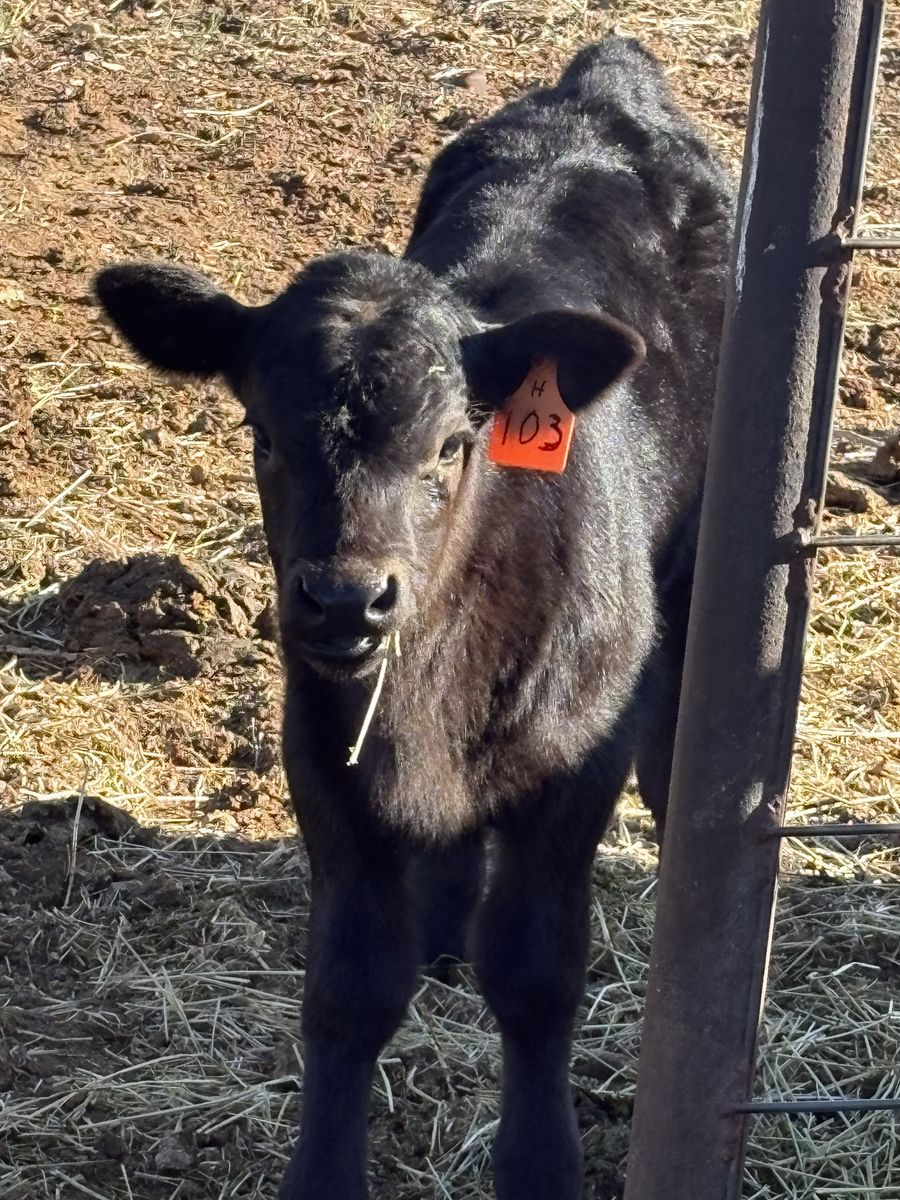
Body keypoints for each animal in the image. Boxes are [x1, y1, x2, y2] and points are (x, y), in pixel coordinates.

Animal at [94, 35, 733, 1200]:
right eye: (261, 430)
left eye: (452, 443)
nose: (347, 597)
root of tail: (605, 77)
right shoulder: (322, 745)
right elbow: (349, 989)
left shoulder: (580, 759)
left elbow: (534, 973)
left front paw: (540, 1165)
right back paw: (442, 931)